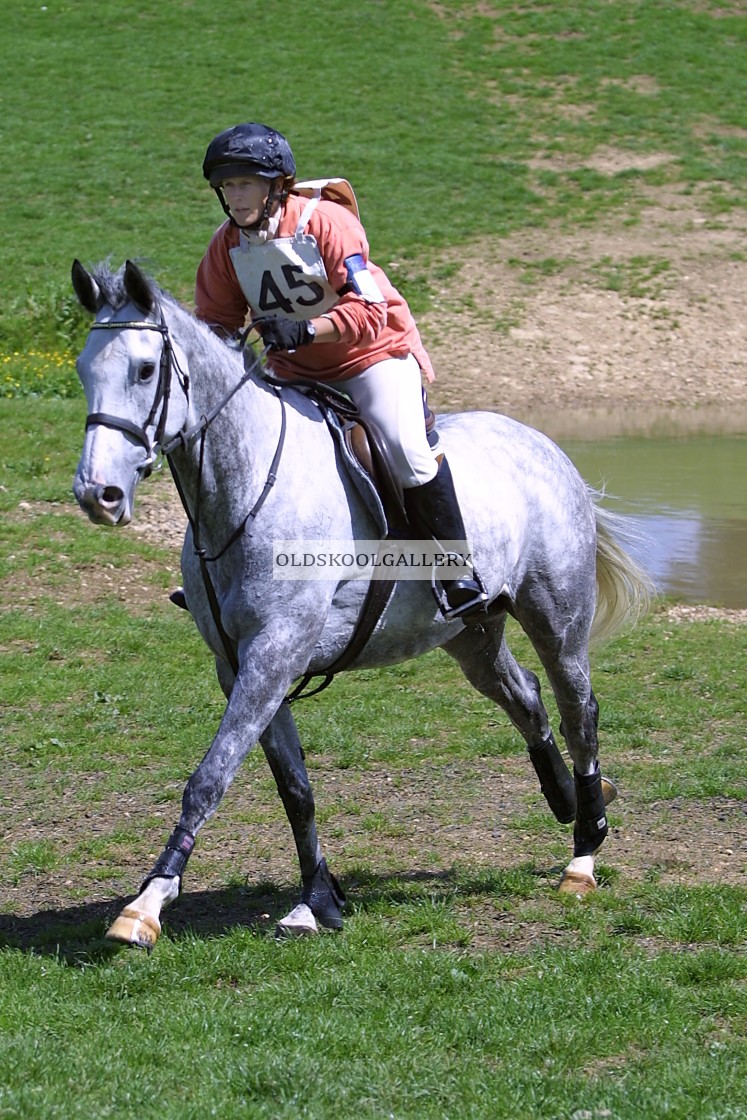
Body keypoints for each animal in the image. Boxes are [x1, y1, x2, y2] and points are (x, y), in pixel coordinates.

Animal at [71, 257, 654, 949]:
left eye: (144, 370)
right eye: (83, 370)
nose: (98, 495)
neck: (246, 487)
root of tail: (543, 445)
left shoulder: (274, 655)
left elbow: (209, 778)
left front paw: (147, 904)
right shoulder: (243, 667)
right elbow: (295, 790)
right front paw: (318, 901)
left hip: (555, 617)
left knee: (577, 711)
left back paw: (584, 852)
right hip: (471, 634)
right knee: (526, 699)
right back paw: (567, 799)